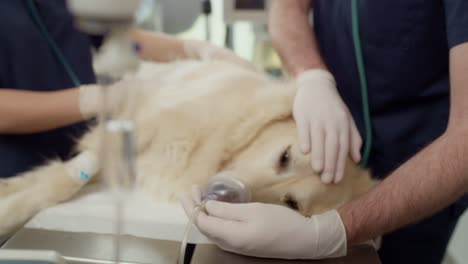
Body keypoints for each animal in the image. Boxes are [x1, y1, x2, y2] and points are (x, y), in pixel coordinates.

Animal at [0, 58, 374, 236]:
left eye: (292, 205)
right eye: (284, 157)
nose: (225, 192)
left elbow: (55, 181)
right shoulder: (134, 129)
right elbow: (61, 181)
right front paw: (8, 210)